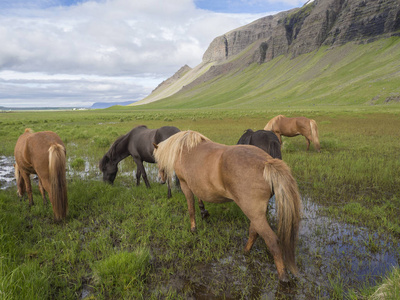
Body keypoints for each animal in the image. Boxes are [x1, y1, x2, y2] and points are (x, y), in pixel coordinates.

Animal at [155, 131, 302, 282]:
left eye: (157, 160)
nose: (160, 180)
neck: (184, 149)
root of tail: (267, 162)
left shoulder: (185, 185)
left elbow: (191, 208)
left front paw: (193, 228)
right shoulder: (196, 184)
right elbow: (199, 198)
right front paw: (203, 212)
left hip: (254, 213)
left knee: (272, 241)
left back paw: (283, 276)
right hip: (256, 214)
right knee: (254, 232)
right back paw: (245, 251)